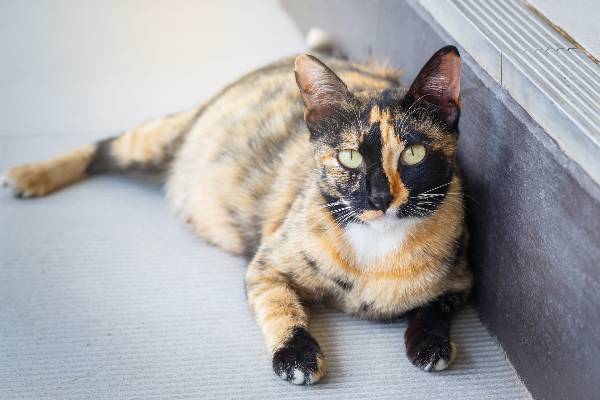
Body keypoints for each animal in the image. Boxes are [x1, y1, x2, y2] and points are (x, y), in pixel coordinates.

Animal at [3, 46, 474, 384]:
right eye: (350, 156)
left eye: (413, 153)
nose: (379, 197)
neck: (377, 251)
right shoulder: (266, 266)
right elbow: (280, 305)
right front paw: (297, 356)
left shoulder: (463, 279)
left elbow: (435, 306)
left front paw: (430, 345)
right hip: (159, 140)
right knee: (103, 147)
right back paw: (29, 175)